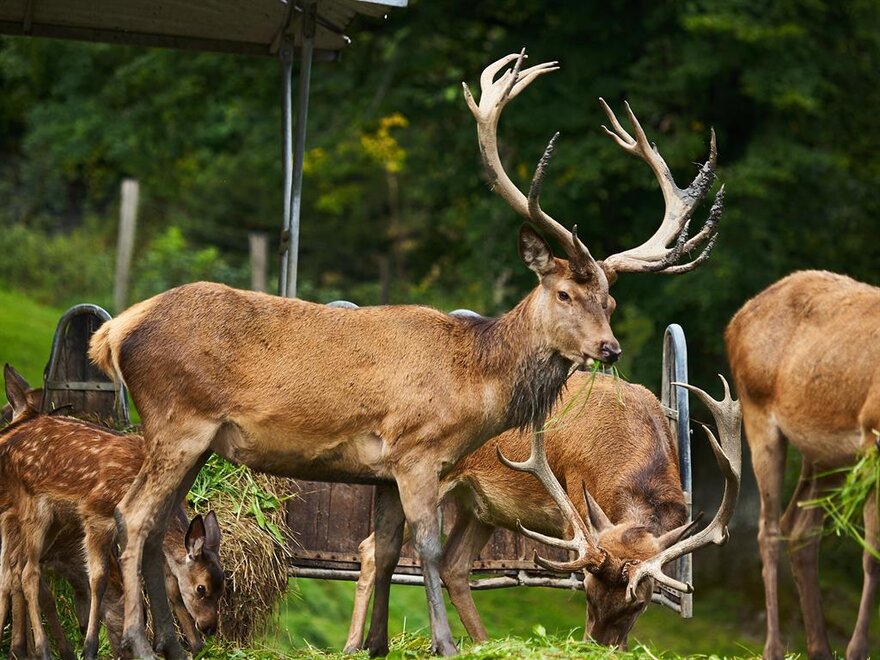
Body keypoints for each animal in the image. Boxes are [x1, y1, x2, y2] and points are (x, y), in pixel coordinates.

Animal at [0, 364, 225, 660]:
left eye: (223, 587)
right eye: (202, 588)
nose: (210, 628)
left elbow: (161, 582)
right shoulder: (96, 515)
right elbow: (99, 579)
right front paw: (90, 647)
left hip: (50, 521)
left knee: (18, 571)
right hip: (33, 510)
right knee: (28, 573)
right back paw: (42, 649)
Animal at [344, 372, 741, 650]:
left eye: (639, 605)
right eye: (587, 594)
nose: (597, 647)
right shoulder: (577, 509)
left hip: (479, 507)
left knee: (454, 565)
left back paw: (485, 644)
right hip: (424, 478)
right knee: (371, 548)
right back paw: (353, 645)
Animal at [726, 269, 880, 660]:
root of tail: (735, 320)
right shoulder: (873, 436)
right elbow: (873, 553)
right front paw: (857, 650)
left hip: (828, 456)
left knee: (800, 526)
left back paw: (819, 647)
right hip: (758, 415)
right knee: (768, 528)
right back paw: (774, 647)